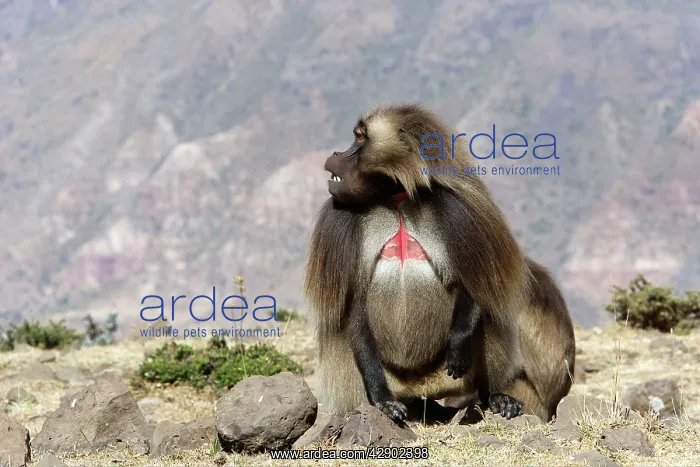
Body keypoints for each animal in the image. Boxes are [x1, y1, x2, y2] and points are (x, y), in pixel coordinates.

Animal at [303, 103, 575, 423]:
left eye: (359, 138)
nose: (336, 154)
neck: (396, 199)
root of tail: (422, 388)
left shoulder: (456, 211)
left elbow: (475, 285)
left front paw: (459, 342)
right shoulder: (339, 218)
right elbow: (354, 306)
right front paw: (382, 401)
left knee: (490, 311)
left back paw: (496, 397)